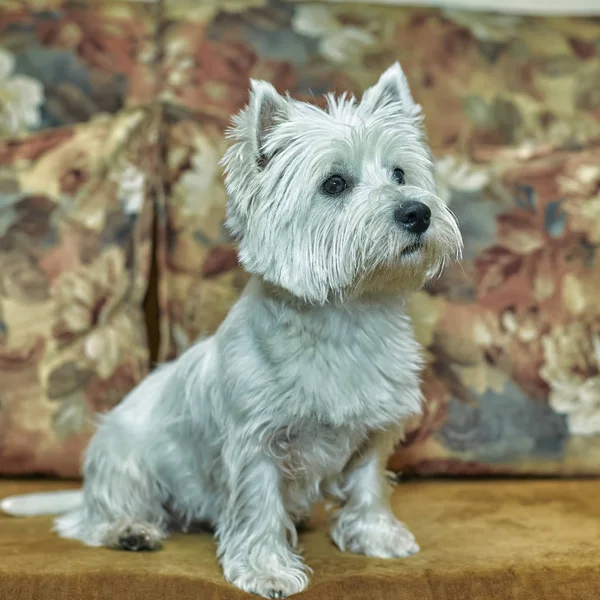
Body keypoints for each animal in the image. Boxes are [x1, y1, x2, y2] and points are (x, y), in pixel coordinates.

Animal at [8, 63, 460, 596]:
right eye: (333, 183)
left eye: (399, 174)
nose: (418, 212)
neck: (346, 316)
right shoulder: (255, 441)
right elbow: (258, 506)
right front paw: (268, 569)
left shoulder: (374, 428)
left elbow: (368, 484)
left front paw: (377, 536)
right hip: (125, 459)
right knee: (92, 518)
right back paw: (129, 530)